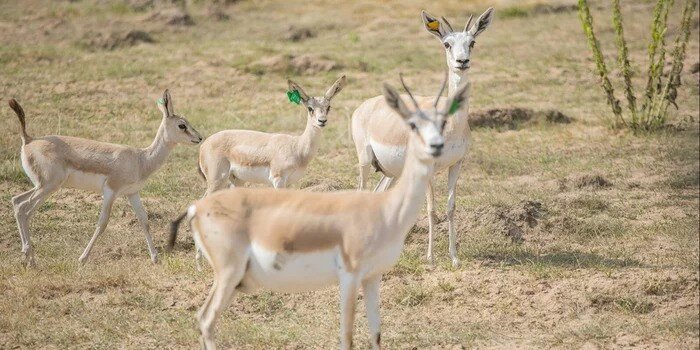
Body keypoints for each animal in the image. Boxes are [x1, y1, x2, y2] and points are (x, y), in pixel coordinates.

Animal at [8, 89, 201, 266]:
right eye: (182, 125)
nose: (199, 138)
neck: (140, 159)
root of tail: (29, 140)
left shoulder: (132, 193)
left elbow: (144, 221)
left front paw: (155, 258)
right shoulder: (110, 191)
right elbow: (102, 223)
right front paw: (82, 259)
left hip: (42, 187)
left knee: (18, 202)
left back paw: (30, 260)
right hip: (47, 187)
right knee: (24, 208)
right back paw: (29, 257)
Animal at [198, 75, 346, 194]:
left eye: (328, 107)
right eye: (310, 108)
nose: (322, 121)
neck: (297, 147)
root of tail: (204, 144)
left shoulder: (288, 183)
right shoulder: (278, 180)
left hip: (238, 181)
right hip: (217, 181)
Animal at [350, 8, 492, 266]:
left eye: (472, 42)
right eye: (447, 44)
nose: (462, 62)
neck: (451, 125)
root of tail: (364, 106)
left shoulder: (457, 164)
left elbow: (450, 208)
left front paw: (454, 258)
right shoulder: (429, 167)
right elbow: (431, 210)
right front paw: (431, 258)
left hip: (392, 172)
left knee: (377, 194)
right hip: (365, 162)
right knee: (361, 193)